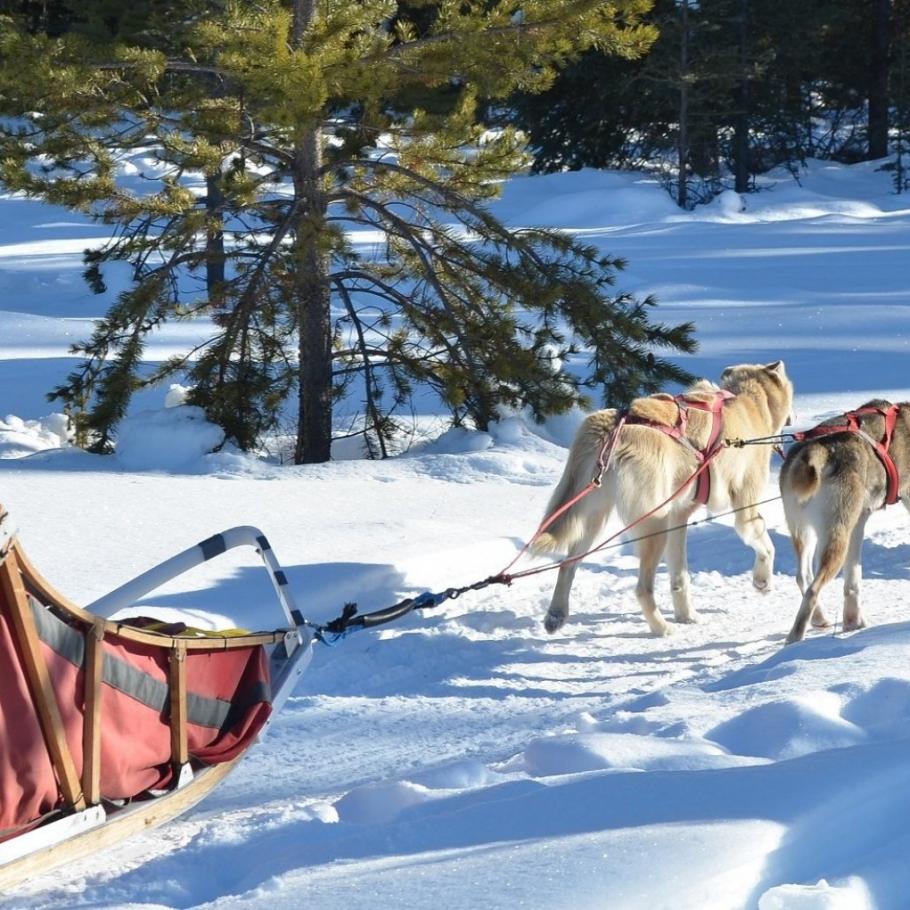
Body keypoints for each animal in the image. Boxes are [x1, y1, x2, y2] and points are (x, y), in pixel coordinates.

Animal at [536, 362, 792, 636]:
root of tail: (614, 426)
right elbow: (766, 545)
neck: (747, 400)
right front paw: (763, 581)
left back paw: (556, 614)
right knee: (642, 588)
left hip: (593, 521)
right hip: (653, 525)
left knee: (567, 565)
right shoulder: (746, 507)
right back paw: (661, 627)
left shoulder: (678, 517)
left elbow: (679, 576)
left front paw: (687, 615)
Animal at [776, 402, 910, 644]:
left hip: (808, 533)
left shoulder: (858, 525)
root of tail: (816, 451)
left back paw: (819, 619)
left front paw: (852, 622)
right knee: (813, 589)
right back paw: (795, 638)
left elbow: (852, 581)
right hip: (837, 537)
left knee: (803, 577)